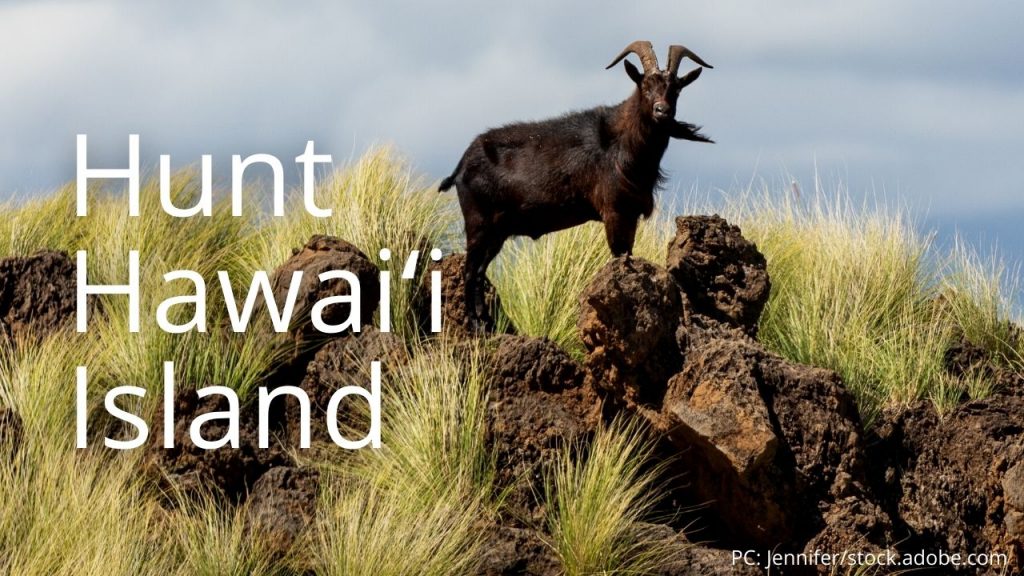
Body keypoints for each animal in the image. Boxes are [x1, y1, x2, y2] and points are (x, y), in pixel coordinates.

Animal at [439, 40, 714, 331]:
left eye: (676, 89)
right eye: (645, 86)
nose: (663, 111)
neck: (623, 145)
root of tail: (461, 165)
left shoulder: (630, 215)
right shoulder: (615, 211)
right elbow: (619, 255)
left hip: (497, 231)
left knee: (481, 270)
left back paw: (485, 320)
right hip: (478, 221)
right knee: (470, 270)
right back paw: (473, 322)